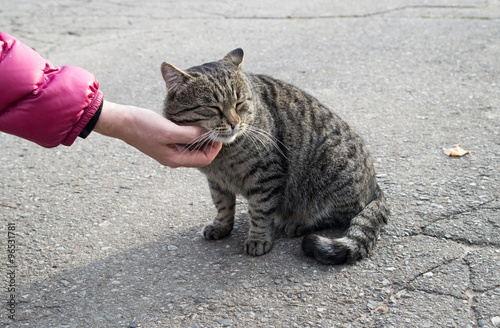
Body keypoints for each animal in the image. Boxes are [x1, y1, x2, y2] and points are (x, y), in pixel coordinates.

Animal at [162, 48, 388, 264]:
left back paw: (298, 223)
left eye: (239, 103)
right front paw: (221, 227)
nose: (234, 123)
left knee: (340, 215)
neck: (223, 157)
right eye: (212, 107)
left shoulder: (266, 175)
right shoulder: (216, 181)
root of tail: (375, 187)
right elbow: (222, 205)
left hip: (331, 172)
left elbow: (259, 211)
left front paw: (258, 239)